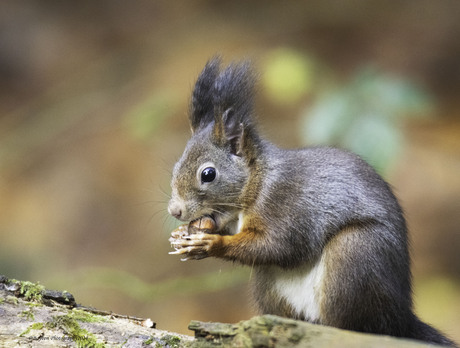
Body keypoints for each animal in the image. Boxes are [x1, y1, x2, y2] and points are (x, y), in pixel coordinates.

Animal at [167, 56, 454, 346]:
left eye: (208, 174)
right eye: (175, 166)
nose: (175, 210)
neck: (257, 185)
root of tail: (400, 319)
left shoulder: (288, 206)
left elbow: (279, 246)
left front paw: (210, 243)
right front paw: (185, 233)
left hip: (355, 255)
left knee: (355, 325)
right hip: (270, 288)